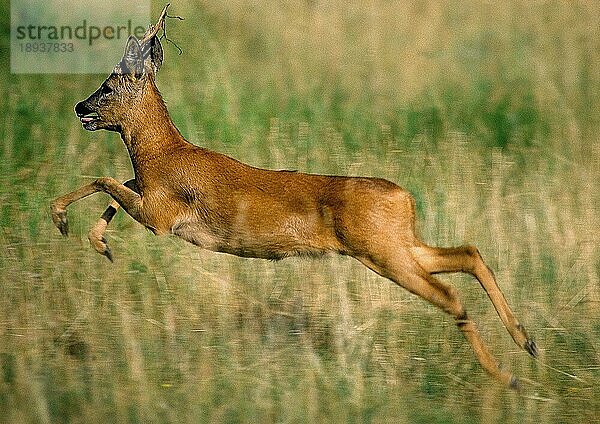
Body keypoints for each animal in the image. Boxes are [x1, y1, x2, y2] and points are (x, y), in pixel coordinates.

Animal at [50, 4, 540, 388]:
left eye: (108, 86)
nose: (79, 107)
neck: (161, 152)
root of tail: (405, 199)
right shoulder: (150, 198)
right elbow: (114, 186)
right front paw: (95, 240)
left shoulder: (161, 217)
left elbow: (105, 180)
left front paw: (65, 222)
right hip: (399, 245)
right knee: (469, 253)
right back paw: (527, 342)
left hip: (383, 253)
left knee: (452, 294)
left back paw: (507, 376)